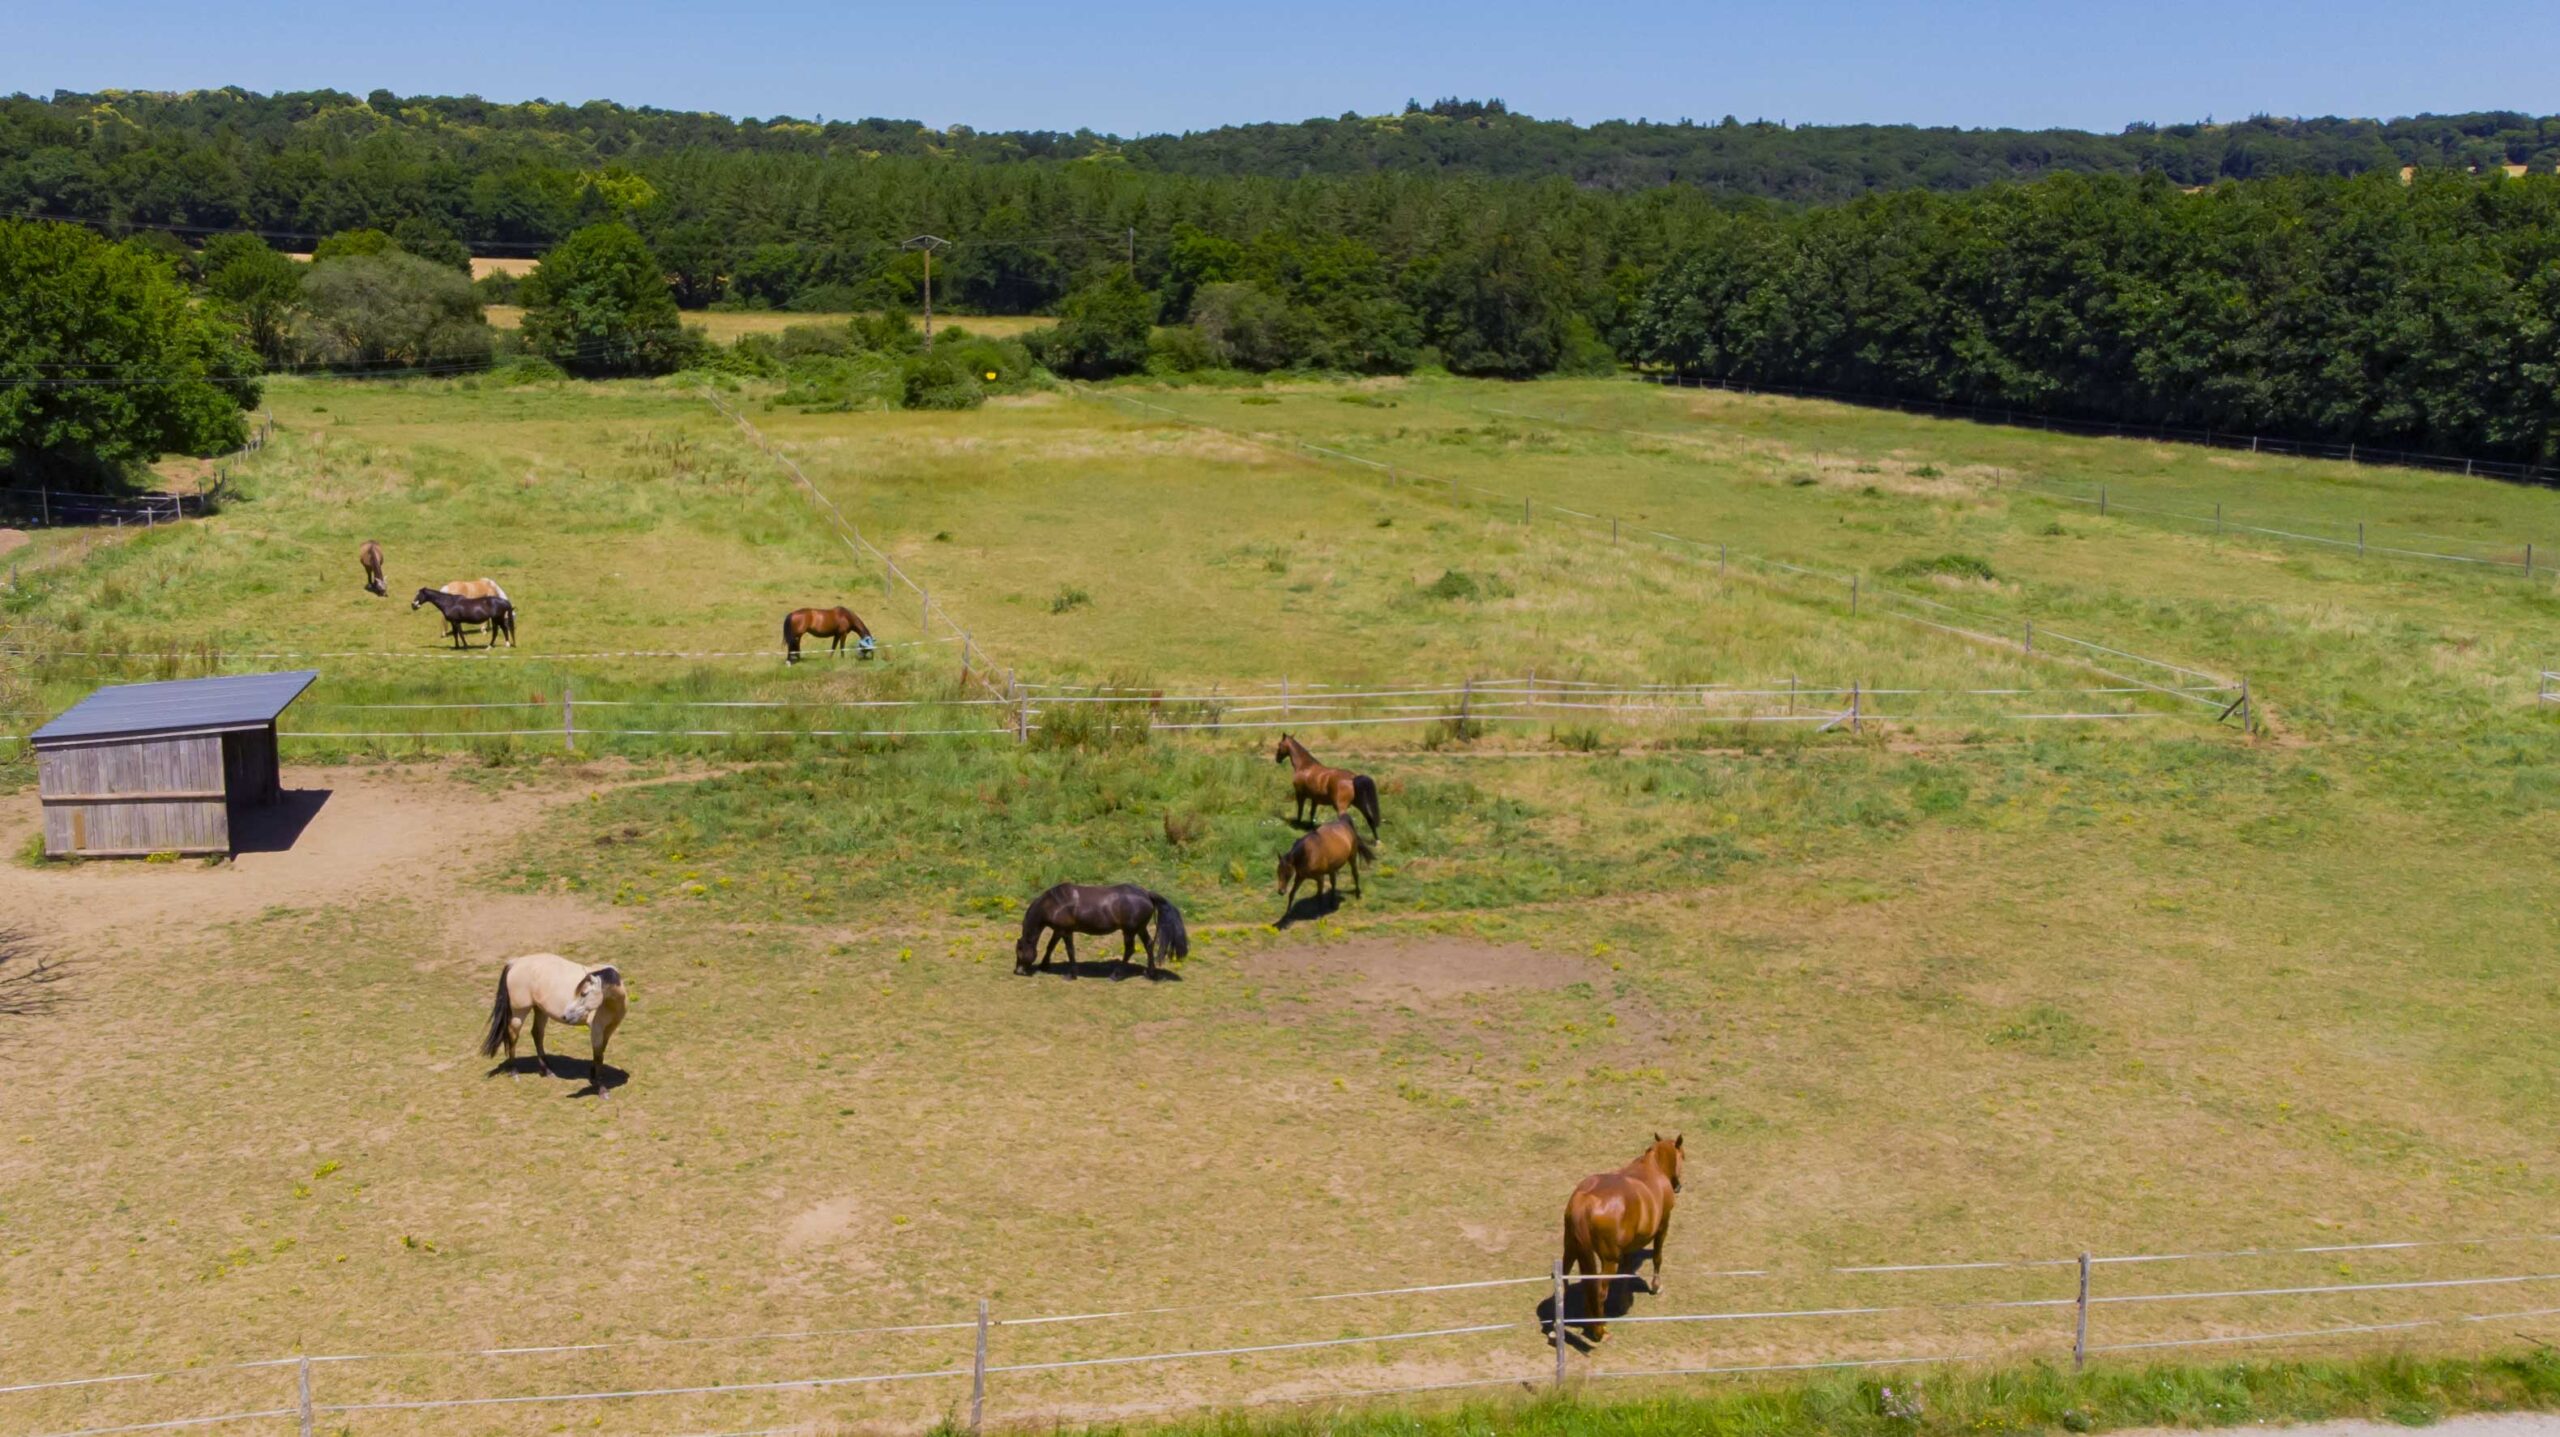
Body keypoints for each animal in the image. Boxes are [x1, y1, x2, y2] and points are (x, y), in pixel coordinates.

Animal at [478, 953, 628, 1096]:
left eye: (583, 993)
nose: (565, 1016)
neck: (611, 1003)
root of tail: (514, 962)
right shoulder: (596, 1029)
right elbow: (598, 1057)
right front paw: (602, 1089)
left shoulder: (609, 1028)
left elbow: (600, 1052)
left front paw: (593, 1076)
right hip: (518, 1013)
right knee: (513, 1037)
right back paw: (514, 1072)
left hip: (540, 1010)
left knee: (537, 1034)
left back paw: (547, 1071)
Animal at [1015, 883, 1188, 980]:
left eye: (1019, 951)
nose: (1018, 971)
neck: (1054, 903)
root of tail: (1146, 894)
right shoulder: (1059, 930)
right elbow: (1050, 946)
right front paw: (1044, 965)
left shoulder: (1066, 931)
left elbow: (1070, 950)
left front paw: (1071, 974)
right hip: (1140, 929)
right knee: (1149, 945)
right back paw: (1150, 973)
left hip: (1129, 931)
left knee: (1130, 950)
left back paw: (1116, 975)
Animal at [1549, 1134, 1683, 1347]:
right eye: (1683, 1156)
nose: (1678, 1186)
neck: (1653, 1168)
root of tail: (1585, 1200)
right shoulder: (1663, 1226)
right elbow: (1657, 1257)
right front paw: (1656, 1286)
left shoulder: (1628, 1247)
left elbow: (1626, 1271)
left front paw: (1624, 1301)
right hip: (1608, 1260)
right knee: (1599, 1291)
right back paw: (1600, 1331)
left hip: (1570, 1250)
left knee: (1564, 1282)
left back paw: (1559, 1329)